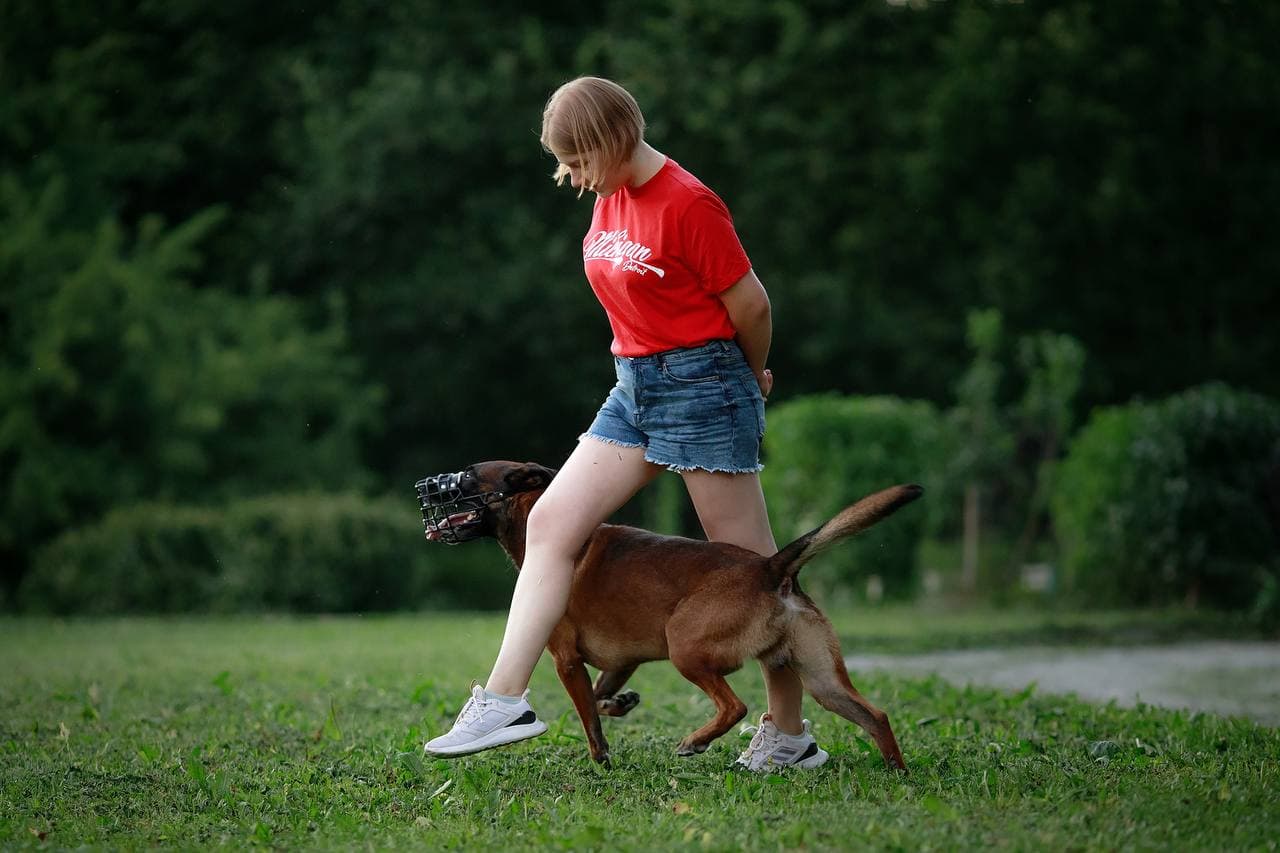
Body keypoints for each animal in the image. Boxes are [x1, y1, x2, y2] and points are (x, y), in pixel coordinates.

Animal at [419, 461, 921, 768]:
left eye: (466, 478)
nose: (432, 489)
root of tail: (769, 567)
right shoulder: (622, 663)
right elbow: (602, 699)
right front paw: (620, 704)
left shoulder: (566, 661)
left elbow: (589, 719)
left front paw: (601, 762)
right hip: (821, 679)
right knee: (876, 716)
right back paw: (896, 773)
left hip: (686, 647)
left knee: (735, 706)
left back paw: (696, 741)